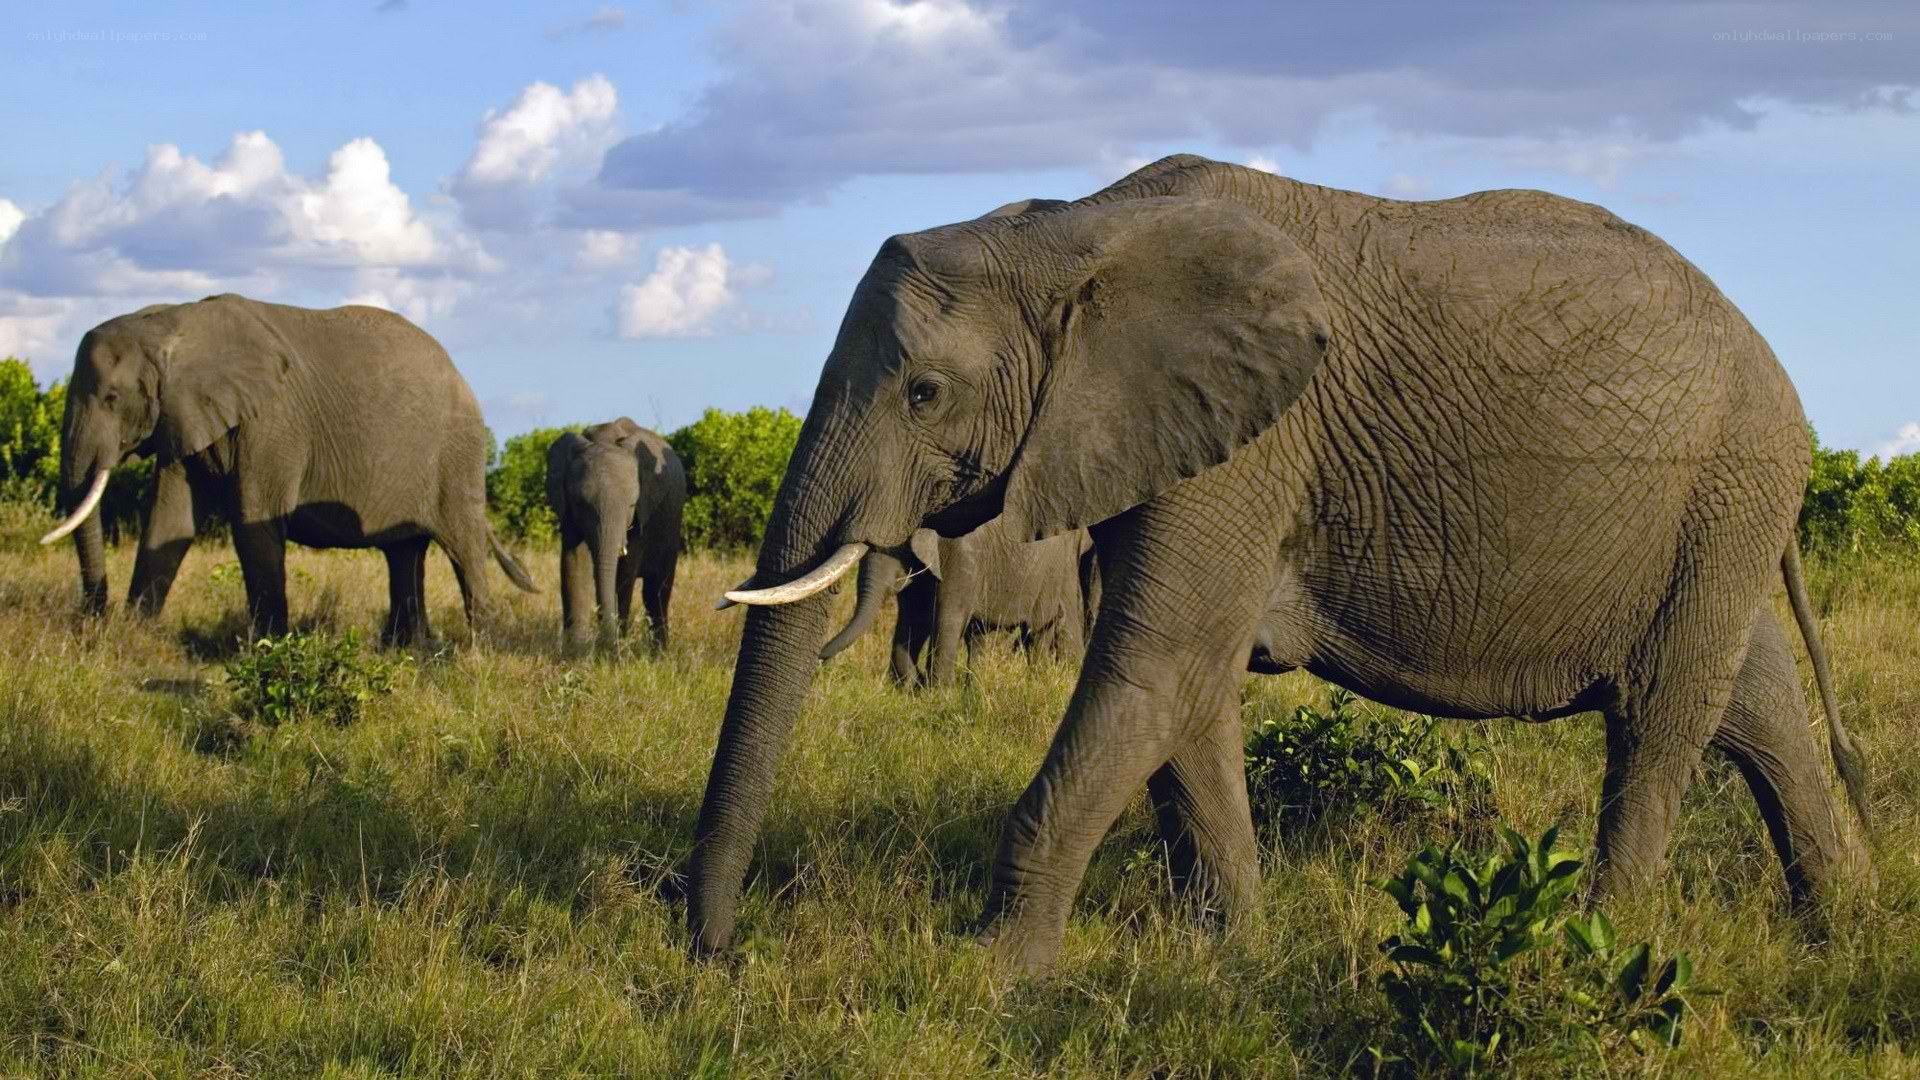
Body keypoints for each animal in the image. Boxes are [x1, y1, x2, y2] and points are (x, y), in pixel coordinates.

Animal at [41, 294, 537, 645]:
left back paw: (478, 649)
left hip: (457, 453)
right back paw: (406, 648)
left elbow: (254, 524)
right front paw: (134, 636)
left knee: (462, 546)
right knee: (403, 551)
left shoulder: (273, 424)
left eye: (112, 398)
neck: (170, 322)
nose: (91, 617)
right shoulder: (184, 416)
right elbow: (169, 521)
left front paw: (265, 648)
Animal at [545, 418, 686, 652]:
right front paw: (576, 650)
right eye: (580, 503)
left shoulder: (642, 514)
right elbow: (574, 564)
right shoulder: (568, 512)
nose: (606, 643)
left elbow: (625, 571)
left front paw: (614, 649)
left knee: (655, 591)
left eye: (631, 505)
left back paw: (659, 653)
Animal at [818, 521, 1097, 686]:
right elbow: (915, 619)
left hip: (1052, 572)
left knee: (1039, 632)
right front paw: (913, 687)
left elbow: (947, 619)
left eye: (898, 547)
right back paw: (974, 689)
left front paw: (938, 695)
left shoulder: (961, 555)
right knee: (982, 637)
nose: (820, 658)